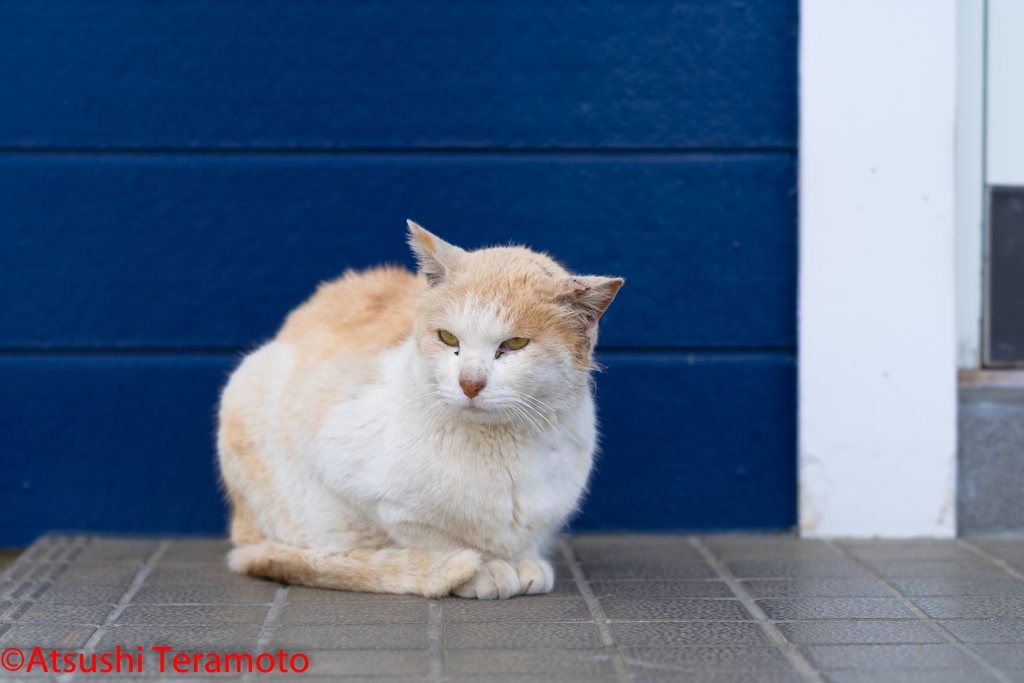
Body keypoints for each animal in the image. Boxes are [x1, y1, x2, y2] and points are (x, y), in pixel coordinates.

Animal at [218, 220, 622, 598]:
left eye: (515, 344)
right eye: (448, 337)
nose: (469, 382)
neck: (500, 448)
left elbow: (525, 537)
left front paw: (521, 559)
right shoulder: (361, 483)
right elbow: (432, 537)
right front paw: (482, 568)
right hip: (250, 386)